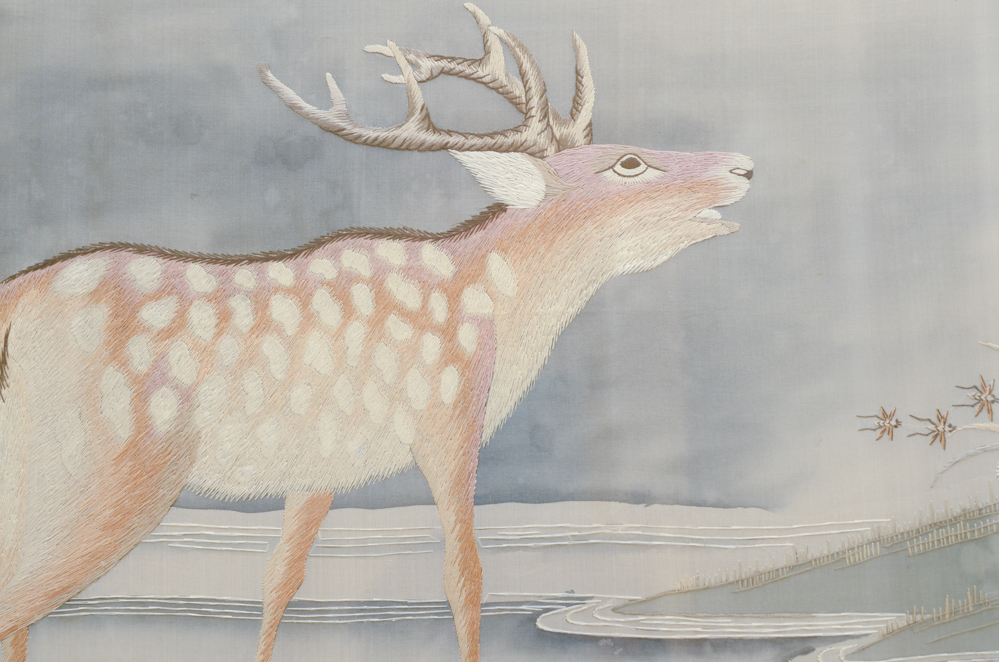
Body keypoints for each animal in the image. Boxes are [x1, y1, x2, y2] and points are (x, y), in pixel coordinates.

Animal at [0, 4, 752, 662]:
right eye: (627, 162)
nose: (742, 165)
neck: (488, 303)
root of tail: (13, 301)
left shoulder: (318, 465)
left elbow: (281, 578)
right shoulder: (449, 417)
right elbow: (464, 576)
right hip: (107, 462)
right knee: (21, 597)